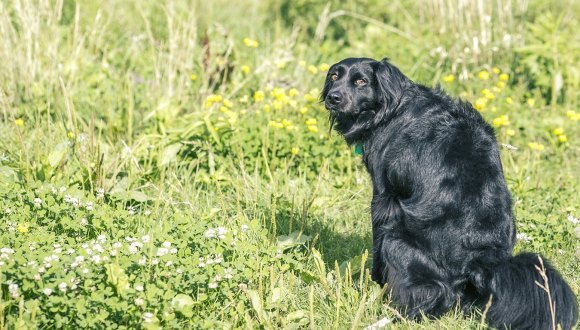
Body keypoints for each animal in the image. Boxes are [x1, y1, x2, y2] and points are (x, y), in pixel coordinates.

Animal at [324, 58, 576, 330]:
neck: (393, 107)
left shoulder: (384, 197)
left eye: (361, 81)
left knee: (434, 294)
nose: (332, 97)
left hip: (397, 240)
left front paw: (372, 285)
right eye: (334, 76)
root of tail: (481, 262)